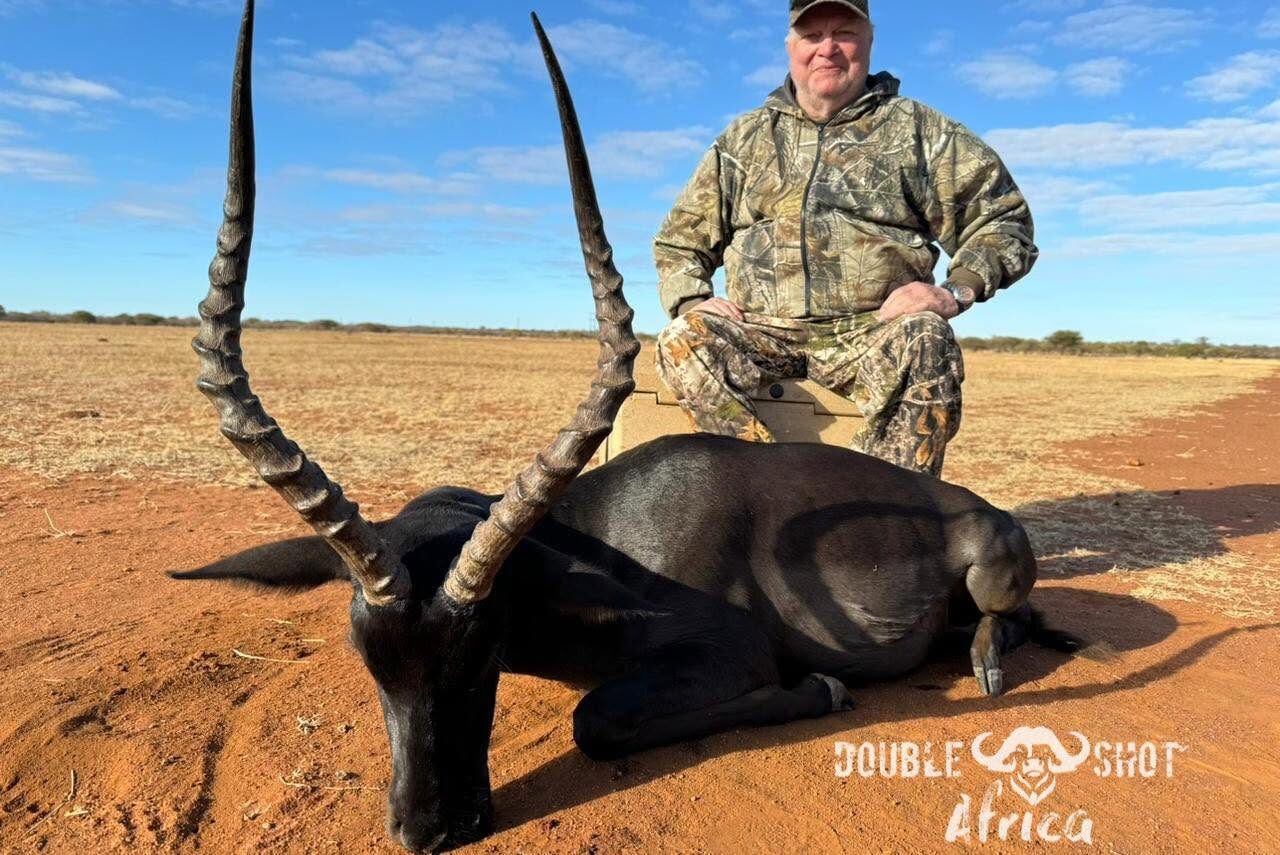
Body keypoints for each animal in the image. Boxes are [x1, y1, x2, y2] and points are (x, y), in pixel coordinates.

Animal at [173, 3, 1085, 851]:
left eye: (482, 647)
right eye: (369, 657)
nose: (429, 829)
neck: (598, 536)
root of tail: (980, 511)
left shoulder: (726, 649)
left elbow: (595, 722)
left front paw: (822, 689)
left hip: (988, 570)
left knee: (1005, 621)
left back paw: (983, 661)